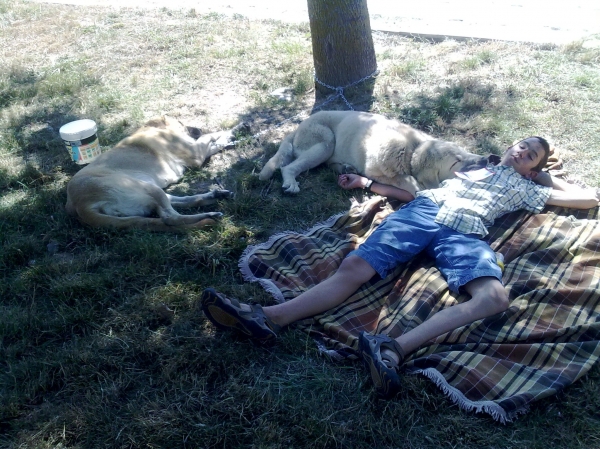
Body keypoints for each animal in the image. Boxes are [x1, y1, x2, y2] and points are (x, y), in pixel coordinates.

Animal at [65, 115, 244, 231]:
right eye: (181, 122)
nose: (198, 129)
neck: (153, 129)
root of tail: (78, 206)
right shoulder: (196, 153)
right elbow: (212, 135)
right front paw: (232, 133)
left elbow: (216, 139)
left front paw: (233, 134)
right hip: (147, 188)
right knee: (170, 218)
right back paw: (210, 214)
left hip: (150, 190)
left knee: (181, 202)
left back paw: (215, 196)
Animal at [260, 110, 490, 194]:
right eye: (457, 161)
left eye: (464, 151)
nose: (488, 159)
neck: (412, 150)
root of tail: (297, 128)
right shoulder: (376, 171)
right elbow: (404, 180)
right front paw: (419, 189)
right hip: (324, 144)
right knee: (289, 167)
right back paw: (290, 182)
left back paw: (345, 167)